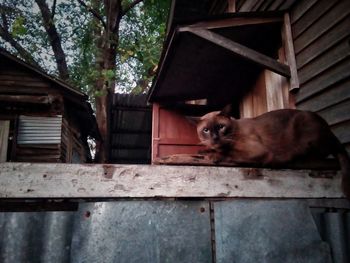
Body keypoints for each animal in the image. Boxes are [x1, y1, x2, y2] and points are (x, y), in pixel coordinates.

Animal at [197, 105, 350, 198]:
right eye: (206, 130)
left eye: (220, 127)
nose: (215, 138)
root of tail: (330, 130)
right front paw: (204, 151)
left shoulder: (257, 151)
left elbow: (228, 154)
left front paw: (212, 155)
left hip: (305, 128)